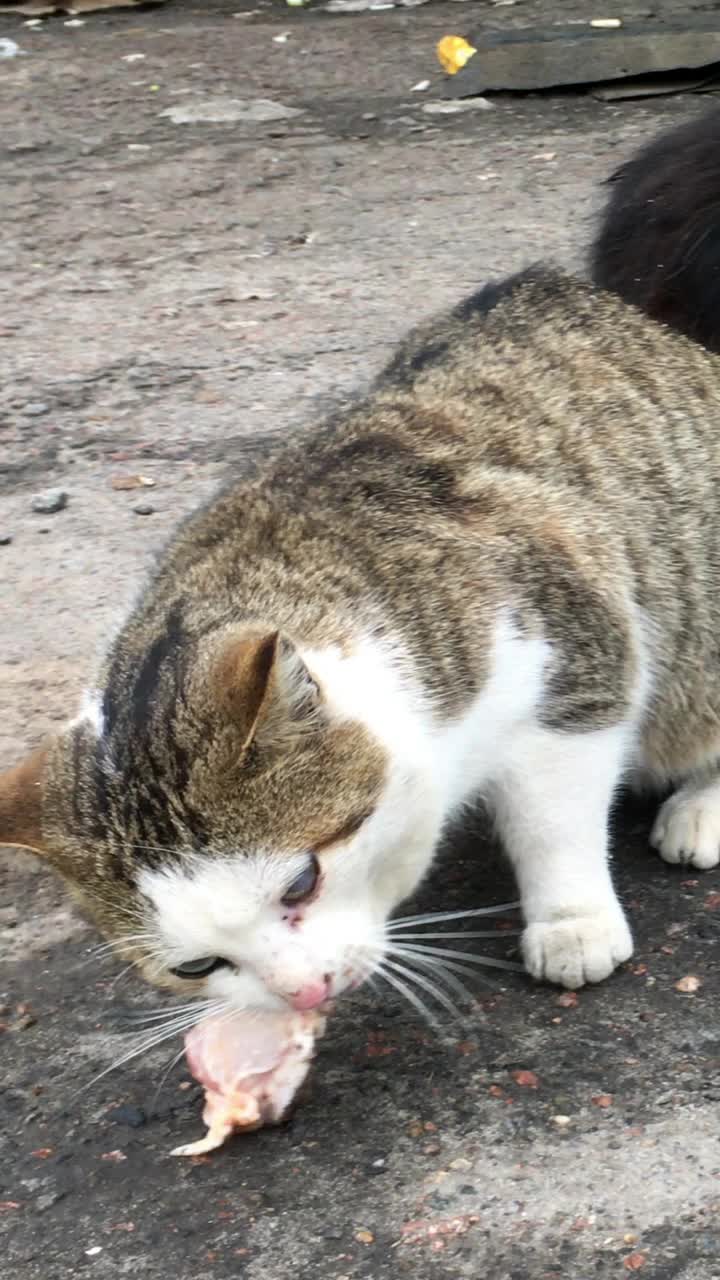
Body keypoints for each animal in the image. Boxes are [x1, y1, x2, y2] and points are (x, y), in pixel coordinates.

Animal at [1, 115, 717, 1029]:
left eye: (302, 880)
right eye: (197, 965)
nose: (301, 990)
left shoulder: (572, 650)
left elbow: (555, 817)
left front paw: (571, 918)